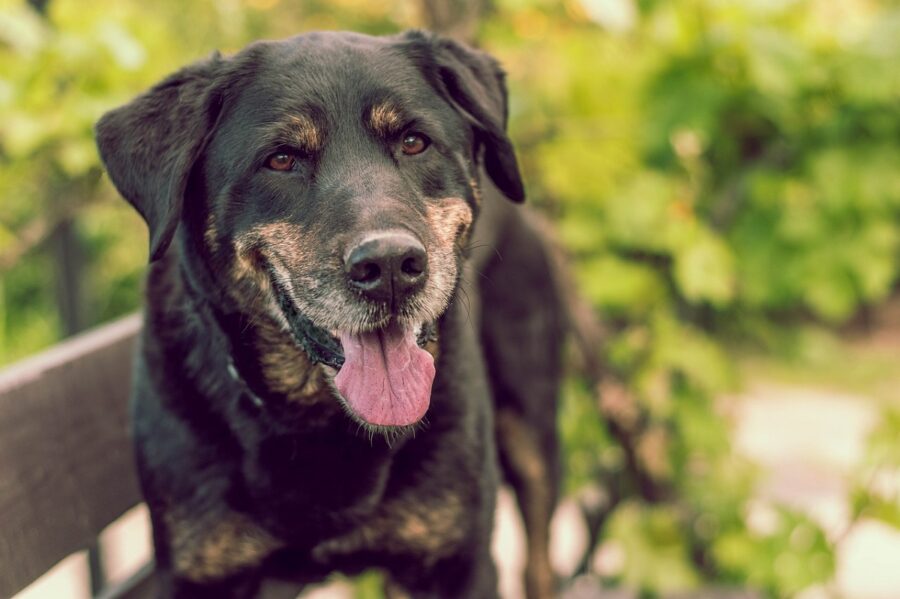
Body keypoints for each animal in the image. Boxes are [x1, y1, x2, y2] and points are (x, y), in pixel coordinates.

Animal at [96, 29, 564, 599]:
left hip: (530, 430)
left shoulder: (458, 564)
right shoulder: (204, 574)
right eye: (281, 159)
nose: (390, 265)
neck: (322, 419)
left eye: (414, 142)